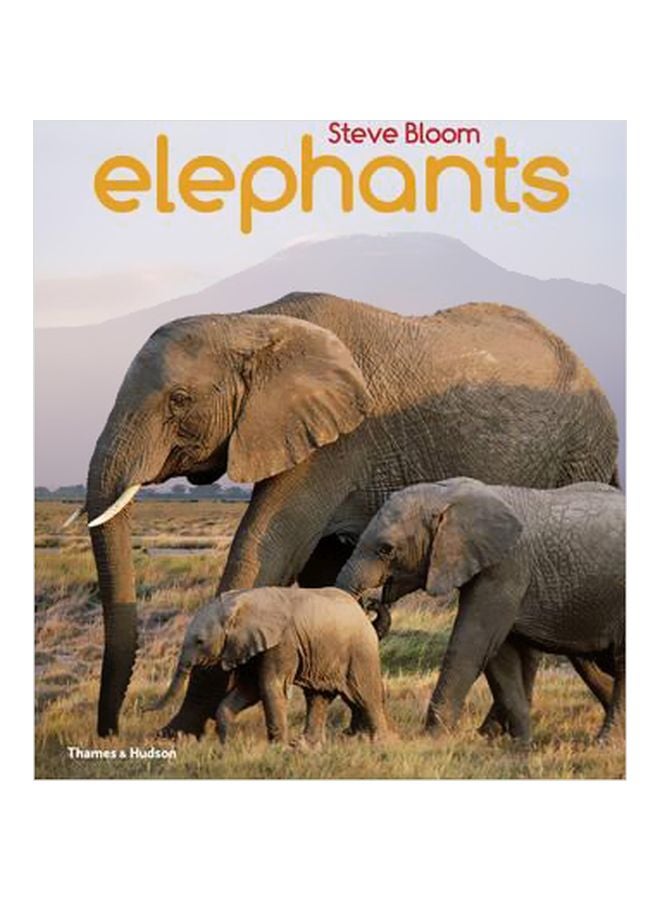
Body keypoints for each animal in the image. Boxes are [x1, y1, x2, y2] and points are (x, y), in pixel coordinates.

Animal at [147, 586, 389, 745]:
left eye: (199, 641)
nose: (145, 709)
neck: (241, 602)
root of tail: (362, 612)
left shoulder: (282, 642)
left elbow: (270, 685)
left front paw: (279, 749)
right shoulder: (250, 644)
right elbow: (251, 688)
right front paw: (226, 745)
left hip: (360, 651)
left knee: (365, 695)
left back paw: (381, 743)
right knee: (317, 697)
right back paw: (307, 748)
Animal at [335, 478, 625, 744]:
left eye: (386, 549)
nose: (372, 602)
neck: (448, 495)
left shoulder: (505, 568)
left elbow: (473, 643)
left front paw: (432, 739)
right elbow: (499, 654)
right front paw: (517, 745)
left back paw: (605, 742)